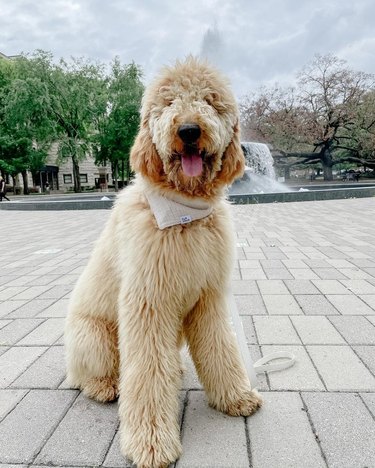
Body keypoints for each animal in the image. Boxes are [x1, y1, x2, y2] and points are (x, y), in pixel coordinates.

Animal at [64, 56, 262, 466]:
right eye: (168, 102)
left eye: (209, 100)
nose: (188, 130)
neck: (184, 214)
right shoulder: (148, 302)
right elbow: (147, 373)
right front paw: (151, 442)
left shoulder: (209, 298)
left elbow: (221, 347)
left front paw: (235, 396)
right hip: (94, 336)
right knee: (90, 374)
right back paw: (103, 385)